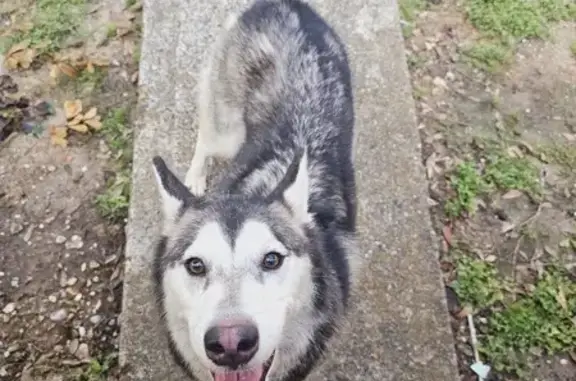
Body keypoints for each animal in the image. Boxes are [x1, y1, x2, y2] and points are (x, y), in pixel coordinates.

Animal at [151, 1, 356, 378]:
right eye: (195, 265)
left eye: (272, 259)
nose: (231, 344)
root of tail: (284, 5)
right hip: (227, 132)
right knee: (205, 140)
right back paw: (196, 177)